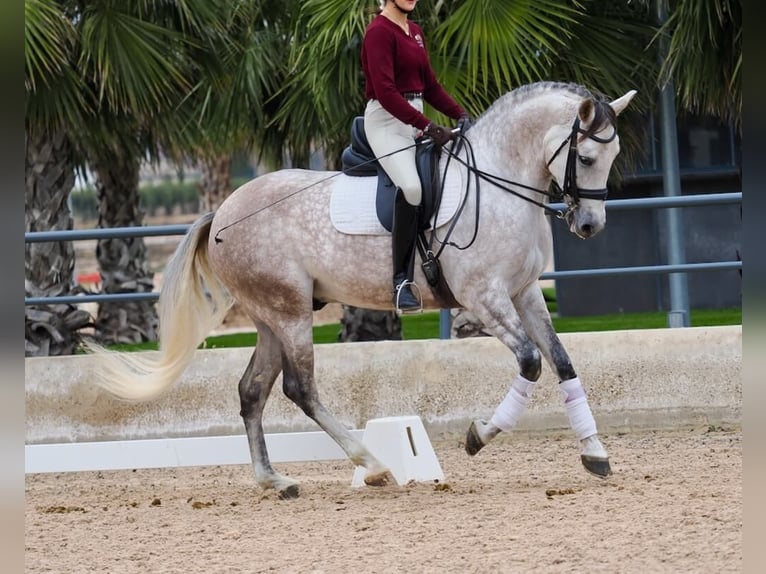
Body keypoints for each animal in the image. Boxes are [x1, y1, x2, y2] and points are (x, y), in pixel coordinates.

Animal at [89, 81, 636, 499]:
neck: (497, 182)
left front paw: (595, 452)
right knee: (300, 389)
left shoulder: (524, 294)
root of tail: (223, 210)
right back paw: (372, 464)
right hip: (291, 314)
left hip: (268, 316)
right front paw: (479, 436)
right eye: (587, 155)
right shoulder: (485, 298)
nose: (589, 226)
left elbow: (562, 362)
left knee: (252, 391)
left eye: (613, 155)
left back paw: (275, 481)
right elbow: (530, 362)